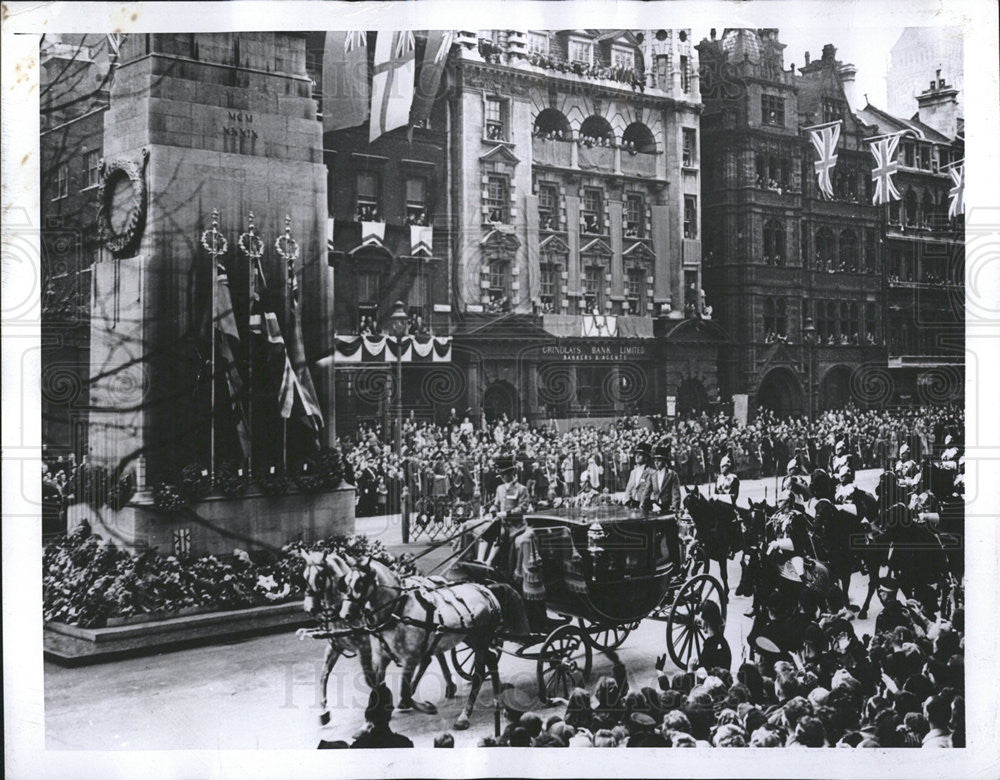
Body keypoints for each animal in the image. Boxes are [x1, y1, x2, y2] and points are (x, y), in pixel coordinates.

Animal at [294, 548, 456, 724]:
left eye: (320, 578)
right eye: (304, 577)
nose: (308, 608)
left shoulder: (364, 649)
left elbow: (369, 679)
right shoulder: (334, 647)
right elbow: (324, 674)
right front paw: (323, 711)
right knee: (433, 656)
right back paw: (443, 687)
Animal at [334, 552, 528, 728]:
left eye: (360, 582)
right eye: (345, 583)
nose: (345, 614)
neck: (397, 609)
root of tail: (485, 589)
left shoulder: (410, 658)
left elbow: (405, 692)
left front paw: (426, 707)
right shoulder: (382, 657)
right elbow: (376, 686)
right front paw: (372, 718)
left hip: (481, 639)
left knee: (479, 673)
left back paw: (465, 715)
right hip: (471, 638)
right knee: (491, 659)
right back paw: (497, 699)